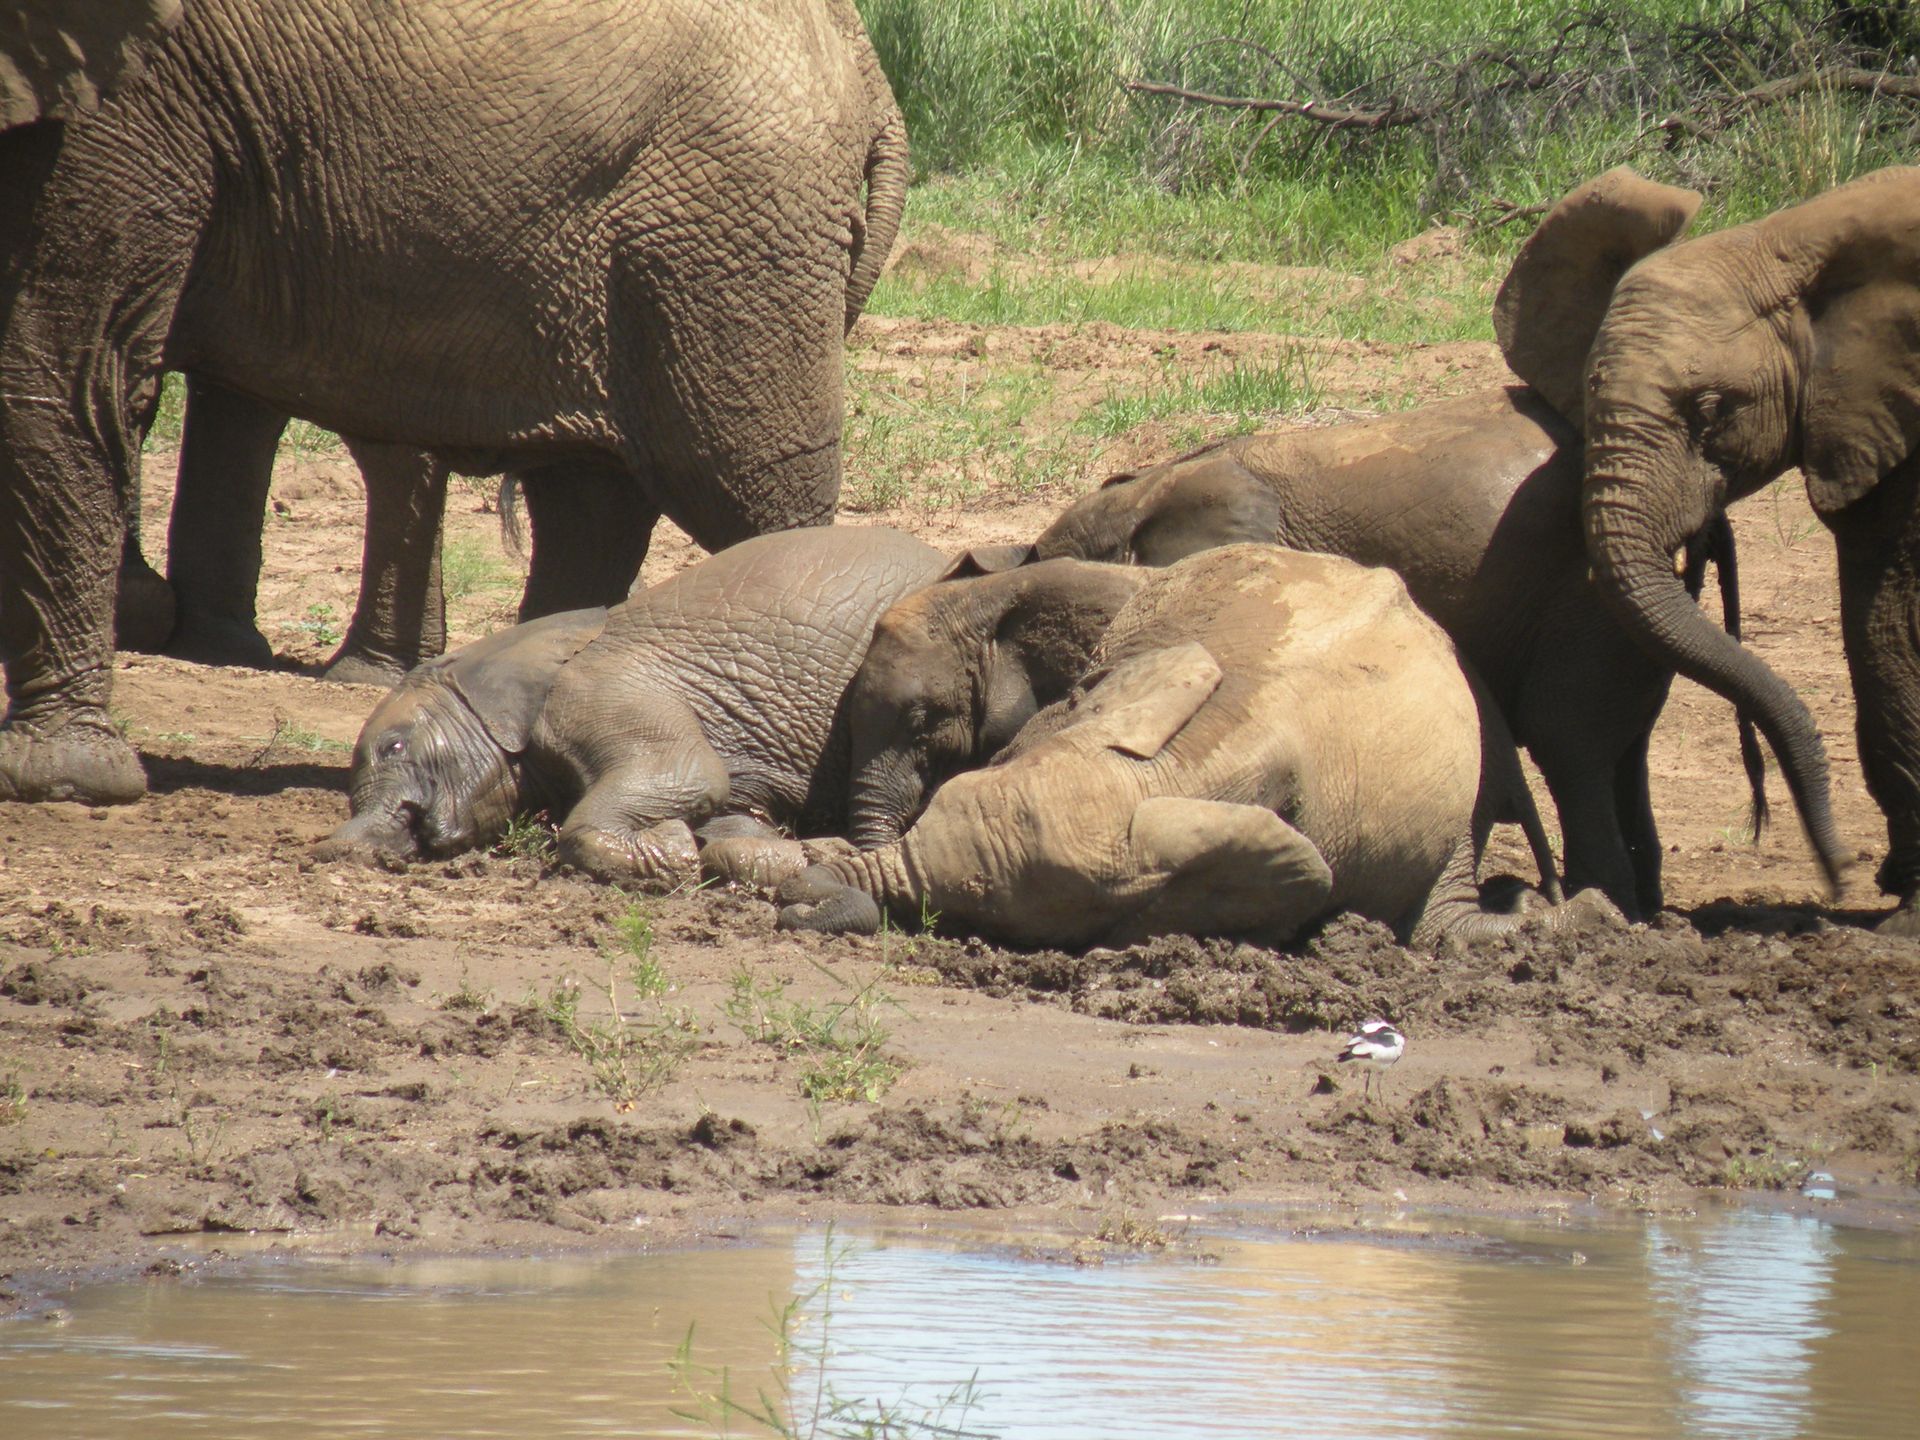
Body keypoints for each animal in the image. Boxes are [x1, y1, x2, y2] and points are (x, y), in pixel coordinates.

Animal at [0, 0, 908, 805]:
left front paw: (62, 783)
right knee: (588, 500)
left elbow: (66, 369)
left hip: (729, 238)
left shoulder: (134, 99)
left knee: (745, 490)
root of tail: (873, 76)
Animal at [315, 525, 948, 886]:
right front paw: (720, 846)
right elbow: (732, 815)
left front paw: (676, 849)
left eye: (394, 747)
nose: (330, 852)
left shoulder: (600, 689)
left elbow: (691, 775)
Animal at [1029, 166, 1757, 921]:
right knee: (1622, 750)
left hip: (1580, 598)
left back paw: (1606, 905)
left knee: (1571, 742)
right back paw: (1637, 910)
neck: (1150, 485)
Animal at [1524, 165, 1920, 928]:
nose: (1837, 875)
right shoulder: (1864, 417)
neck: (1788, 241)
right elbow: (1879, 619)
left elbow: (1896, 614)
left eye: (1710, 410)